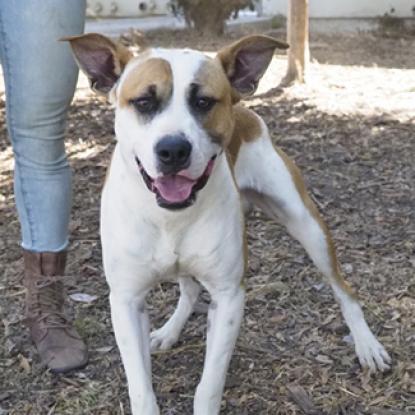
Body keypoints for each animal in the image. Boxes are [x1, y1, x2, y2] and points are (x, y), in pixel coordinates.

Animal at [66, 33, 392, 415]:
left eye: (204, 101)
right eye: (144, 101)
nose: (173, 150)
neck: (169, 216)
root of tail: (243, 108)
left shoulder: (229, 297)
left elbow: (209, 386)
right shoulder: (126, 301)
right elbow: (141, 389)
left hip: (308, 227)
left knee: (344, 290)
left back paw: (367, 345)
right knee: (190, 290)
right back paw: (170, 331)